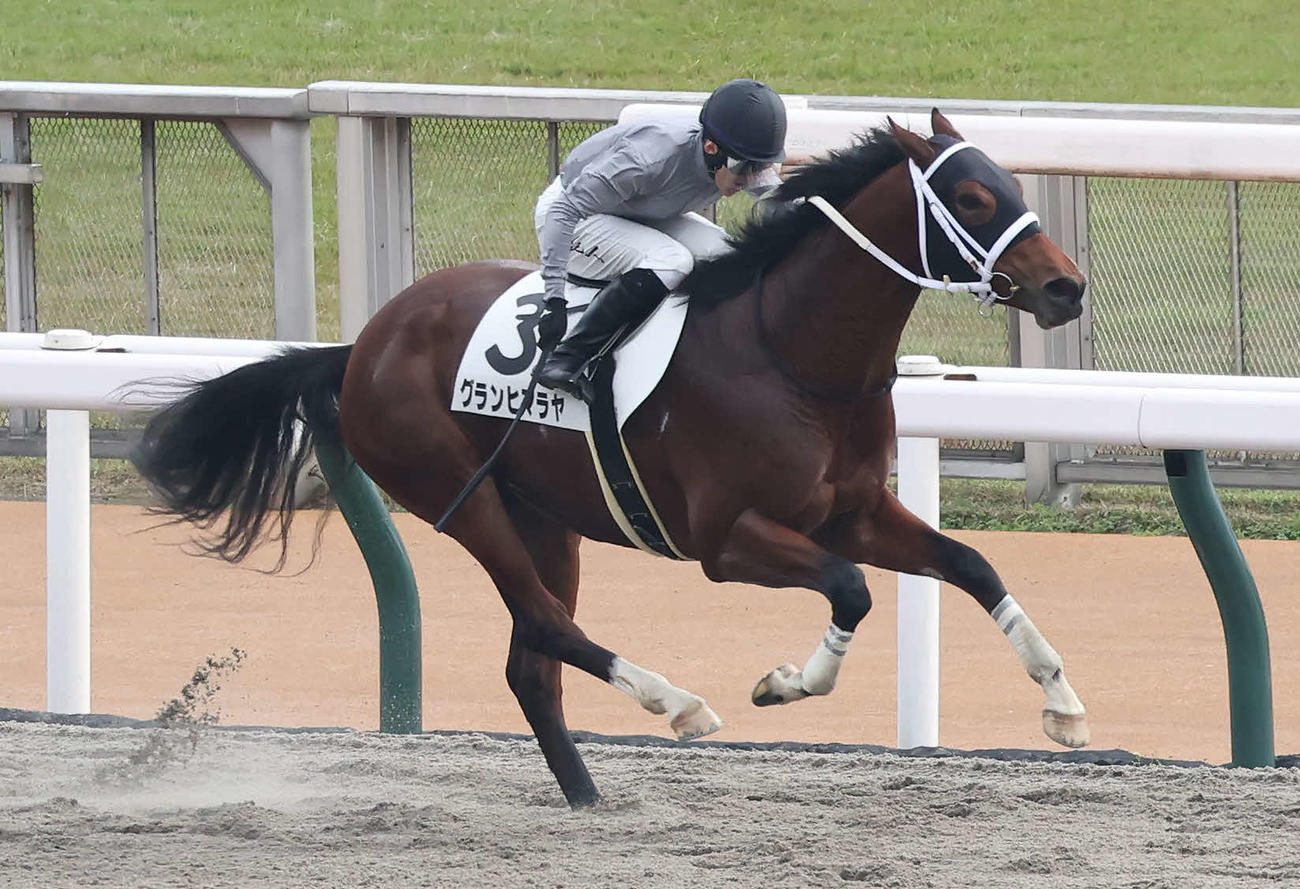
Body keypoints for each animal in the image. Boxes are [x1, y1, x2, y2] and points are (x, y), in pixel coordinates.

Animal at [131, 110, 1089, 808]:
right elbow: (850, 588)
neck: (791, 352)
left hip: (546, 516)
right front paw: (785, 683)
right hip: (458, 496)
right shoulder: (724, 539)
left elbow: (972, 563)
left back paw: (587, 794)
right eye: (972, 197)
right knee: (548, 625)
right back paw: (678, 704)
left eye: (1010, 184)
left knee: (531, 658)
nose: (1065, 287)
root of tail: (361, 344)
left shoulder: (853, 511)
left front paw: (1064, 704)